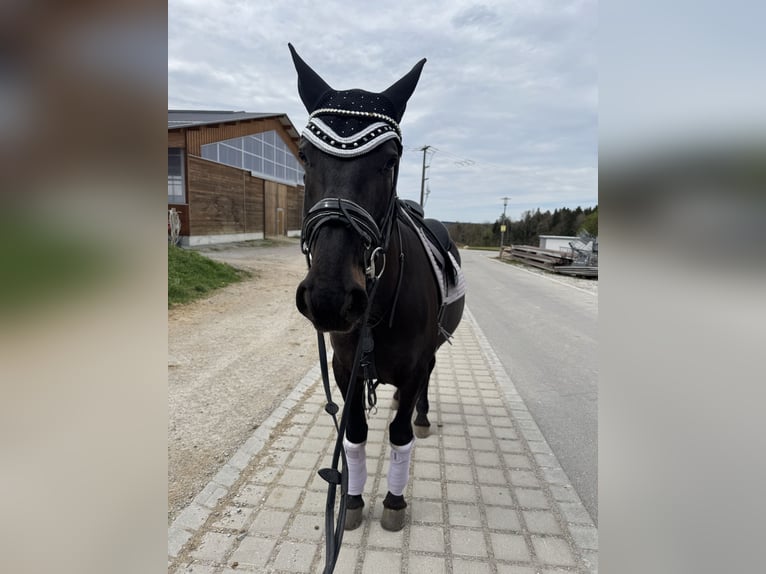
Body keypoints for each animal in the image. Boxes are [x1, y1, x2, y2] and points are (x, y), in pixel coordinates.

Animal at [289, 44, 465, 540]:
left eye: (389, 160)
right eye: (305, 155)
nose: (329, 297)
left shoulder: (413, 366)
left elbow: (400, 436)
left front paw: (393, 499)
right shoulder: (345, 368)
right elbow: (354, 436)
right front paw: (351, 500)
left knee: (423, 388)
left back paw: (421, 414)